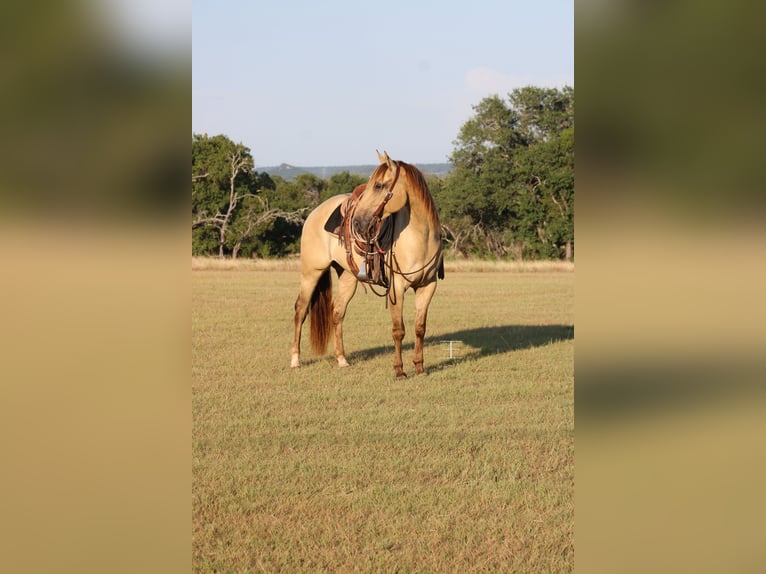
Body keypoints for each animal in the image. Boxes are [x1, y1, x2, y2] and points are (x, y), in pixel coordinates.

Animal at [290, 151, 444, 379]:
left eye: (379, 185)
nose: (357, 222)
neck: (420, 239)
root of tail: (313, 213)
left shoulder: (427, 286)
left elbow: (419, 328)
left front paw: (419, 367)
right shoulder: (396, 288)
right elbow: (399, 330)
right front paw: (399, 370)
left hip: (348, 277)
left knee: (337, 311)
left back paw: (342, 359)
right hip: (311, 272)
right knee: (301, 310)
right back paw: (295, 360)